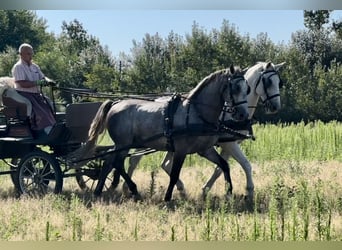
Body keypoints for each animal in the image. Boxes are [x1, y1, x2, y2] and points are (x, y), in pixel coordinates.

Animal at [73, 66, 248, 201]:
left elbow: (224, 165)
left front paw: (229, 192)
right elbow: (175, 173)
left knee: (111, 161)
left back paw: (102, 190)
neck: (196, 112)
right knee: (117, 163)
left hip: (122, 144)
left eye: (247, 89)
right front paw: (168, 197)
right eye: (235, 88)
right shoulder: (181, 150)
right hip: (123, 143)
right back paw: (131, 189)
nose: (243, 115)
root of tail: (116, 103)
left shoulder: (205, 149)